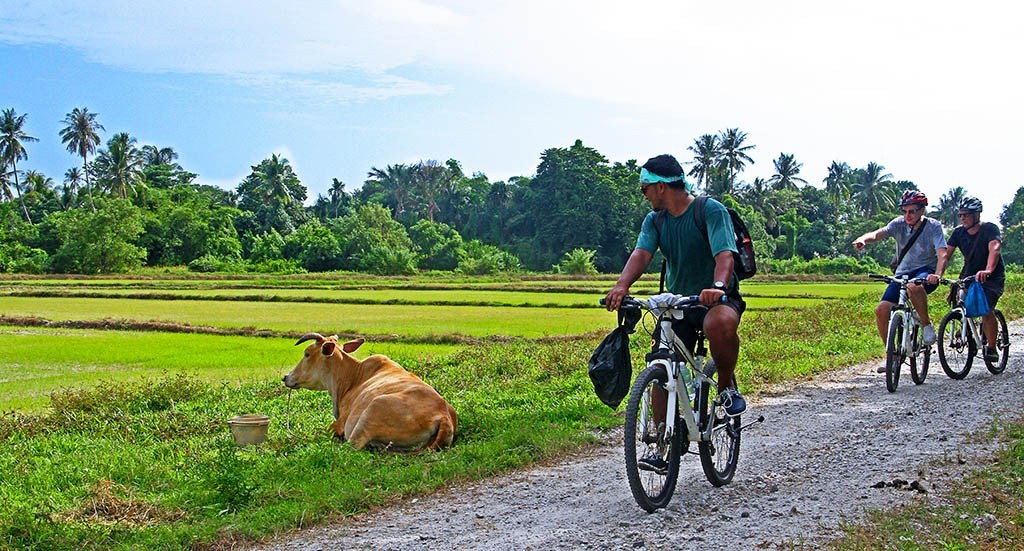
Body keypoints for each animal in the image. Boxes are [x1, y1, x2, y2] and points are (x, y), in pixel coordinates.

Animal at [280, 329, 456, 450]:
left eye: (307, 354)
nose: (286, 377)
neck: (352, 377)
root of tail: (444, 416)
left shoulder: (340, 423)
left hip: (372, 410)